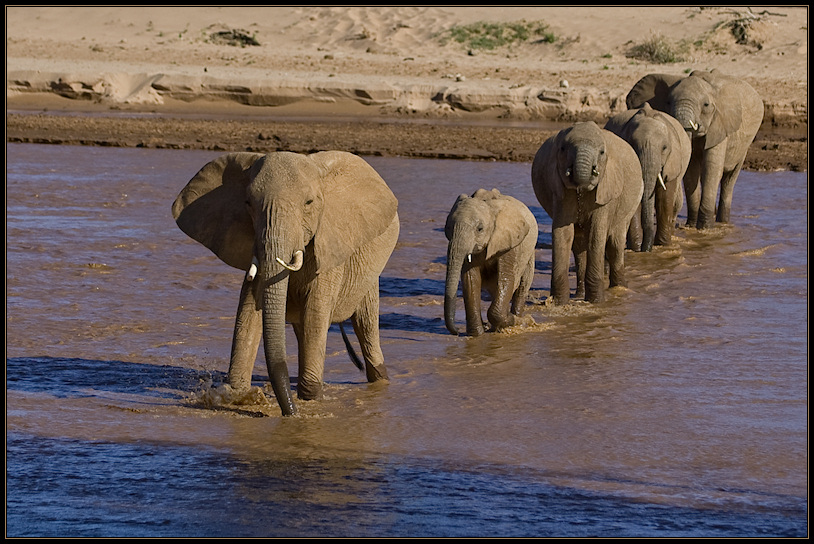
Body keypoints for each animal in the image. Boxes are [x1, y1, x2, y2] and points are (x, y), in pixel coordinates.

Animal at [173, 151, 402, 414]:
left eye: (309, 203)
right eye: (248, 203)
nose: (290, 412)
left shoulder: (330, 245)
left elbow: (315, 311)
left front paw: (310, 399)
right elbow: (248, 311)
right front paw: (238, 395)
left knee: (365, 322)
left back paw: (379, 379)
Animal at [444, 189, 540, 338]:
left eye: (480, 228)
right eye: (448, 227)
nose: (457, 331)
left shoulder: (510, 241)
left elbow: (507, 278)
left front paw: (517, 320)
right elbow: (471, 280)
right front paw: (477, 334)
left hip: (529, 253)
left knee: (522, 285)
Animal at [532, 120, 648, 304]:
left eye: (601, 152)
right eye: (562, 149)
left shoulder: (606, 191)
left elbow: (596, 233)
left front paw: (596, 302)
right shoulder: (559, 191)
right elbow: (562, 233)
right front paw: (559, 303)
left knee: (615, 243)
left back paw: (619, 288)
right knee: (579, 247)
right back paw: (579, 295)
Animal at [608, 102, 692, 251]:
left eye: (664, 148)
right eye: (633, 145)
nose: (646, 248)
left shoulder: (673, 160)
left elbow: (665, 197)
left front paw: (662, 245)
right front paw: (636, 248)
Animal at [624, 70, 764, 230]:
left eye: (706, 105)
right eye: (668, 102)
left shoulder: (720, 124)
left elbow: (712, 167)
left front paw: (705, 228)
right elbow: (691, 169)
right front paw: (691, 226)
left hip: (744, 147)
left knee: (729, 179)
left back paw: (722, 221)